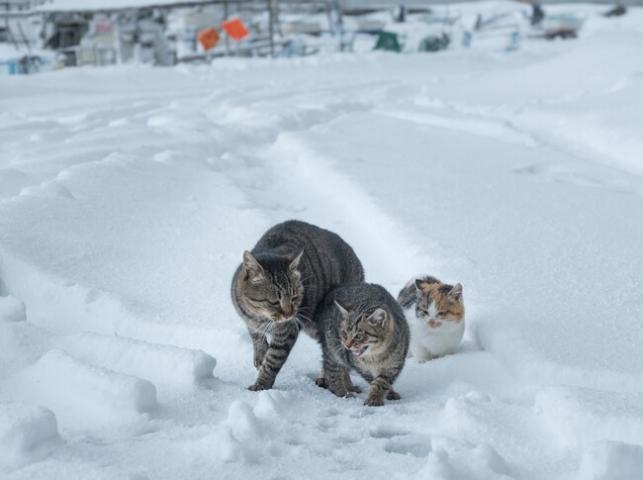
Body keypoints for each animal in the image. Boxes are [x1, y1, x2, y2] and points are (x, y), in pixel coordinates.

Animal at [231, 219, 364, 392]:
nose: (290, 313)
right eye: (275, 301)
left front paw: (262, 384)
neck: (258, 316)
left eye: (294, 297)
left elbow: (272, 361)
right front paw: (260, 356)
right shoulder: (250, 322)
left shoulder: (287, 331)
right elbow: (256, 338)